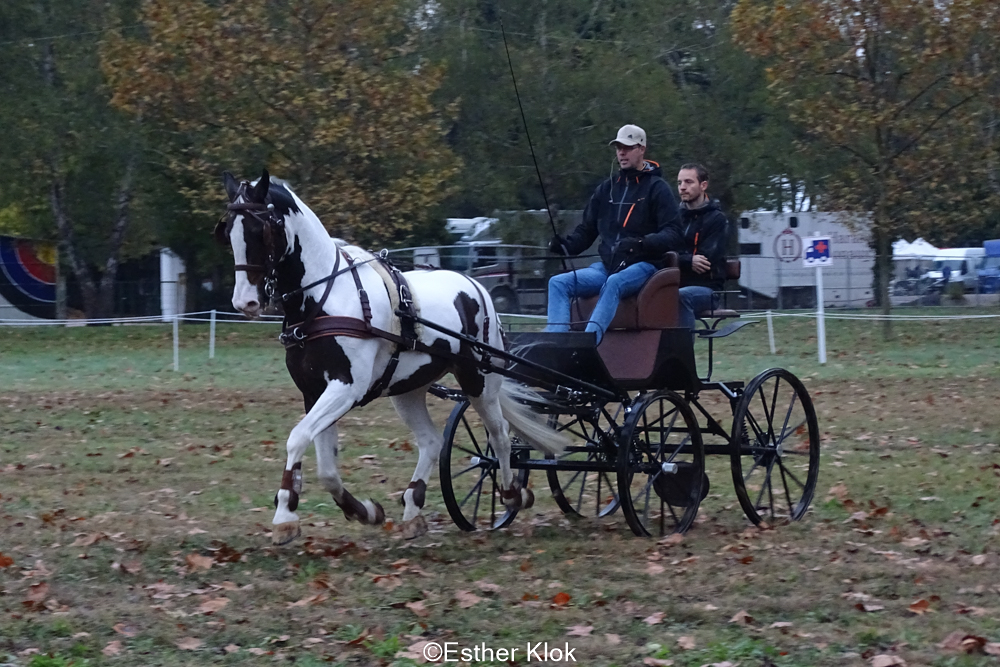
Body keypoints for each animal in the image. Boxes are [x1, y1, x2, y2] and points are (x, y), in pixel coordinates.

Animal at [214, 171, 568, 544]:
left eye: (262, 230)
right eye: (227, 232)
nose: (244, 302)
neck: (323, 299)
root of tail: (476, 286)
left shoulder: (345, 389)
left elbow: (297, 438)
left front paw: (284, 516)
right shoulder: (315, 391)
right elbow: (326, 467)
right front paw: (364, 511)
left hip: (480, 381)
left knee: (499, 433)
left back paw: (512, 492)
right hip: (409, 390)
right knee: (431, 441)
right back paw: (413, 509)